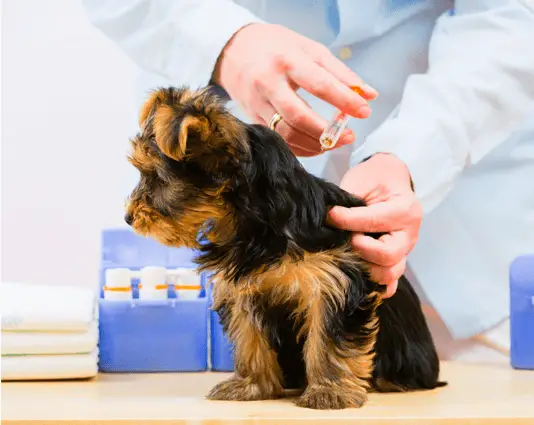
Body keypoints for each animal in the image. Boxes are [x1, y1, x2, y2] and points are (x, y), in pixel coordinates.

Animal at [125, 85, 448, 408]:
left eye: (157, 178)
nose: (129, 217)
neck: (258, 222)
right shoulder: (243, 288)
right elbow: (249, 336)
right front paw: (250, 385)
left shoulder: (333, 283)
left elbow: (327, 338)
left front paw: (328, 391)